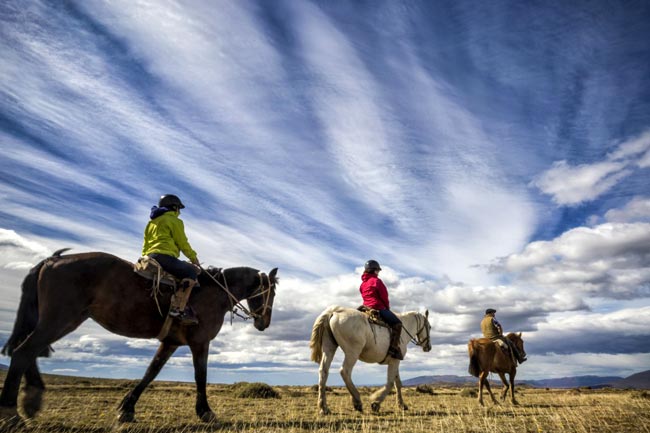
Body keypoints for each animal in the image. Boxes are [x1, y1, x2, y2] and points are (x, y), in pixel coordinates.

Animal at [0, 248, 276, 426]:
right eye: (270, 293)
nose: (264, 323)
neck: (213, 293)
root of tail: (51, 261)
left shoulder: (170, 342)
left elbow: (151, 372)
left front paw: (127, 409)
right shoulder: (200, 342)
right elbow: (201, 376)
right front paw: (206, 413)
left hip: (58, 321)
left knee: (27, 352)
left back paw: (31, 400)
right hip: (61, 319)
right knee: (24, 352)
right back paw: (12, 412)